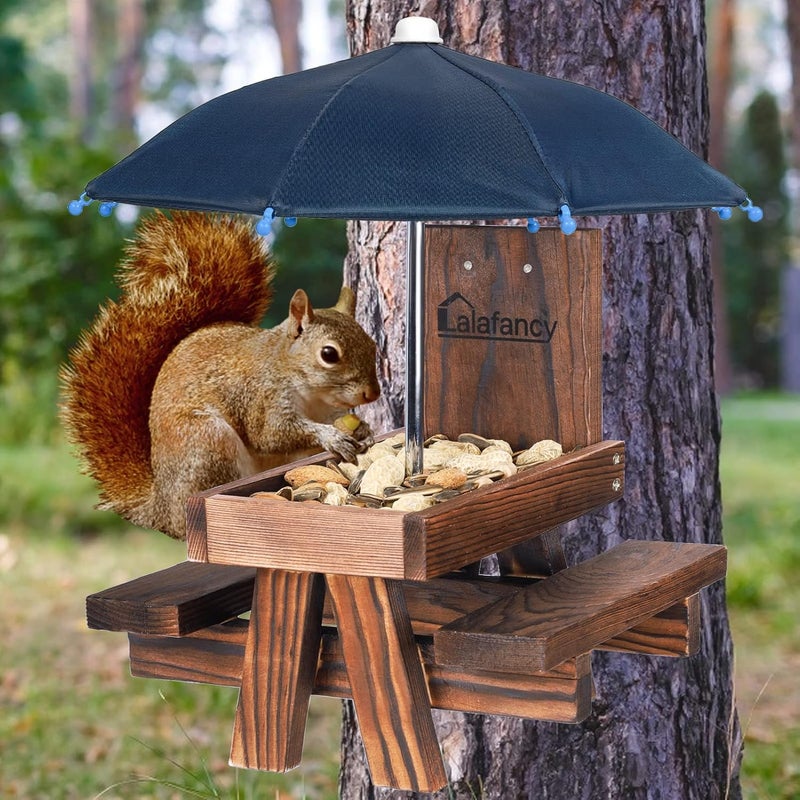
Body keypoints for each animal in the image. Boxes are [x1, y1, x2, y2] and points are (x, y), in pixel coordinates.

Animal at [60, 211, 381, 540]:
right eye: (329, 354)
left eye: (372, 344)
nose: (372, 394)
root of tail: (163, 511)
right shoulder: (261, 398)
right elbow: (270, 434)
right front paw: (331, 437)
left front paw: (364, 430)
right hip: (208, 442)